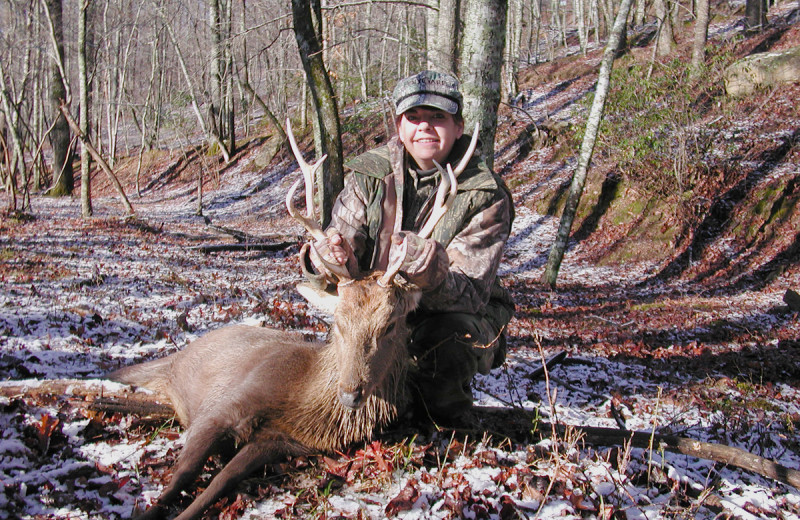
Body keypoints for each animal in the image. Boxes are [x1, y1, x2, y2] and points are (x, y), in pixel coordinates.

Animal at [108, 120, 478, 516]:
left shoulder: (281, 442)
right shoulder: (221, 405)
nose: (350, 392)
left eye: (391, 324)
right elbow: (182, 475)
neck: (303, 402)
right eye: (337, 322)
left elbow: (218, 485)